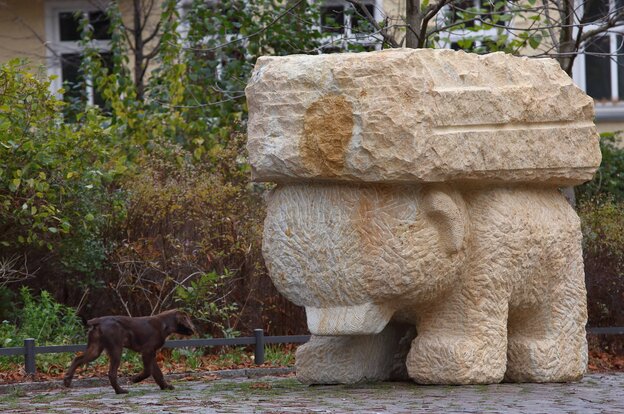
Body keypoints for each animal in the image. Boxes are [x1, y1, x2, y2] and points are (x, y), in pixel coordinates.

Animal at [64, 308, 195, 392]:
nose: (194, 329)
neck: (164, 323)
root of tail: (97, 320)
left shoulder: (151, 353)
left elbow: (158, 373)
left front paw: (165, 386)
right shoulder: (147, 351)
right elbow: (148, 371)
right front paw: (135, 379)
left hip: (95, 348)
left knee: (77, 359)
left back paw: (67, 380)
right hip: (116, 349)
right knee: (111, 373)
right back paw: (120, 391)